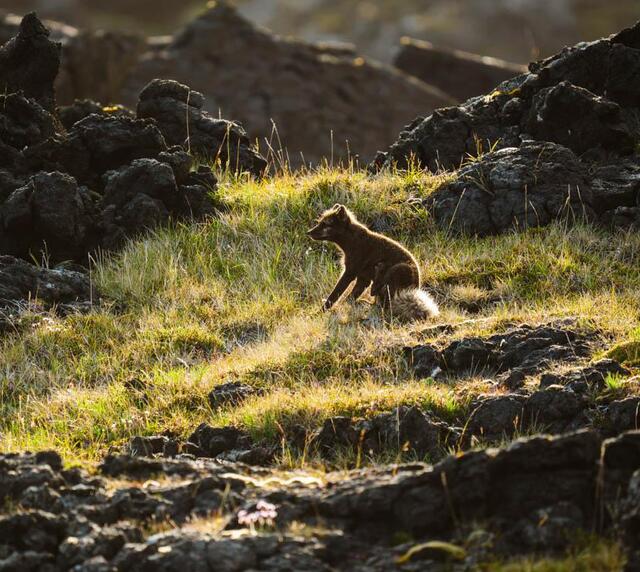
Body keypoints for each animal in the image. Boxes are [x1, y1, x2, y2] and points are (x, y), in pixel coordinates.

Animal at [307, 204, 439, 322]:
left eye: (325, 224)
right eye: (320, 222)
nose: (308, 232)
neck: (352, 240)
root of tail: (416, 287)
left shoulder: (350, 271)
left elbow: (335, 294)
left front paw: (320, 312)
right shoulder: (362, 278)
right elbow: (352, 296)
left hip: (399, 269)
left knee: (384, 300)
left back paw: (379, 272)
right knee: (378, 300)